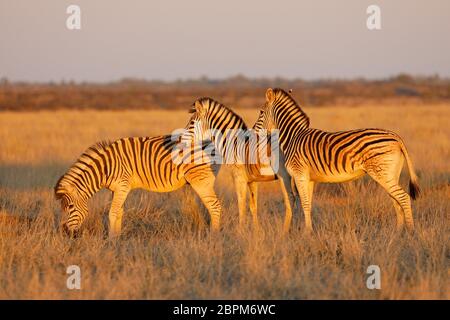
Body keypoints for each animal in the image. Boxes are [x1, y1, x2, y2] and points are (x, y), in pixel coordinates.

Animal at [54, 114, 221, 238]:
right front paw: (118, 237)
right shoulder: (117, 189)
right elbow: (119, 212)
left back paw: (214, 237)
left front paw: (112, 240)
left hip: (201, 181)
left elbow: (112, 213)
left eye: (70, 207)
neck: (106, 167)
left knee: (215, 207)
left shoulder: (123, 185)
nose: (65, 233)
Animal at [189, 96, 298, 231]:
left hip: (285, 176)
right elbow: (253, 206)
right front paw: (256, 231)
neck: (235, 143)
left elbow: (241, 205)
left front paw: (240, 232)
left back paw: (285, 231)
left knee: (291, 199)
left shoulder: (239, 178)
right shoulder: (252, 180)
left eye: (191, 123)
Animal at [255, 87, 420, 232]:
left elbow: (305, 204)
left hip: (382, 173)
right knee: (396, 201)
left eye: (261, 112)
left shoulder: (299, 174)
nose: (254, 131)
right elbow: (308, 204)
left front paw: (306, 234)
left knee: (404, 198)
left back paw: (410, 232)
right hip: (390, 174)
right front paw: (309, 232)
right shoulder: (309, 178)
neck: (293, 136)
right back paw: (397, 234)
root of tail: (396, 137)